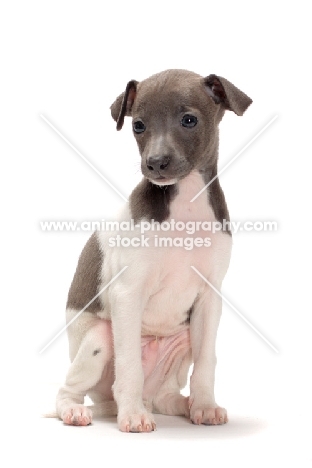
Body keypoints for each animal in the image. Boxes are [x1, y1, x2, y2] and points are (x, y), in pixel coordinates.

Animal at [55, 68, 251, 432]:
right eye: (138, 125)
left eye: (189, 120)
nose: (156, 163)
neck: (186, 204)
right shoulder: (128, 294)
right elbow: (130, 363)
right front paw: (132, 416)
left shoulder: (209, 298)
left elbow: (206, 361)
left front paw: (205, 406)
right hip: (100, 340)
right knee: (70, 390)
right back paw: (82, 410)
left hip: (182, 339)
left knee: (164, 396)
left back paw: (182, 404)